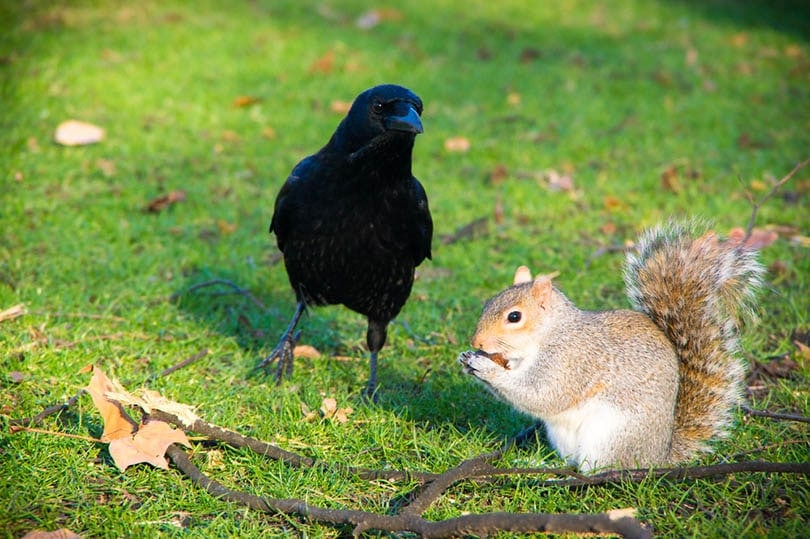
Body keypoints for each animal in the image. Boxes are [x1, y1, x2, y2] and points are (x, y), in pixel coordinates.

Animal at [458, 220, 764, 472]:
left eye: (514, 317)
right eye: (488, 303)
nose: (476, 342)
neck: (549, 334)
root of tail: (657, 457)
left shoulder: (571, 360)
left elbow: (541, 395)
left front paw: (486, 367)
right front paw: (469, 360)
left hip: (611, 436)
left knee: (600, 469)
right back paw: (541, 463)